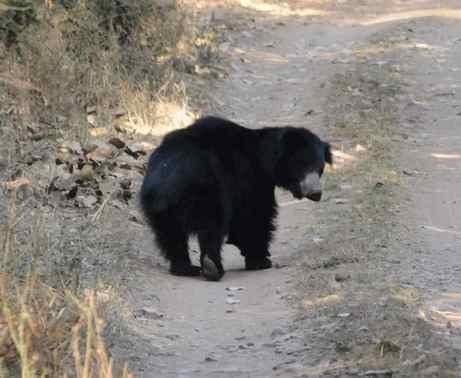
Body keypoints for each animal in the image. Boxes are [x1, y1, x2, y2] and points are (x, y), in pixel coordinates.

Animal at [140, 117, 330, 280]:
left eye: (319, 168)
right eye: (302, 166)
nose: (316, 193)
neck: (262, 155)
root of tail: (168, 180)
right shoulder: (249, 178)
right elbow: (254, 217)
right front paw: (261, 260)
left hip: (160, 209)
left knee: (171, 236)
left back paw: (185, 268)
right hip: (207, 192)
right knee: (211, 229)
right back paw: (212, 267)